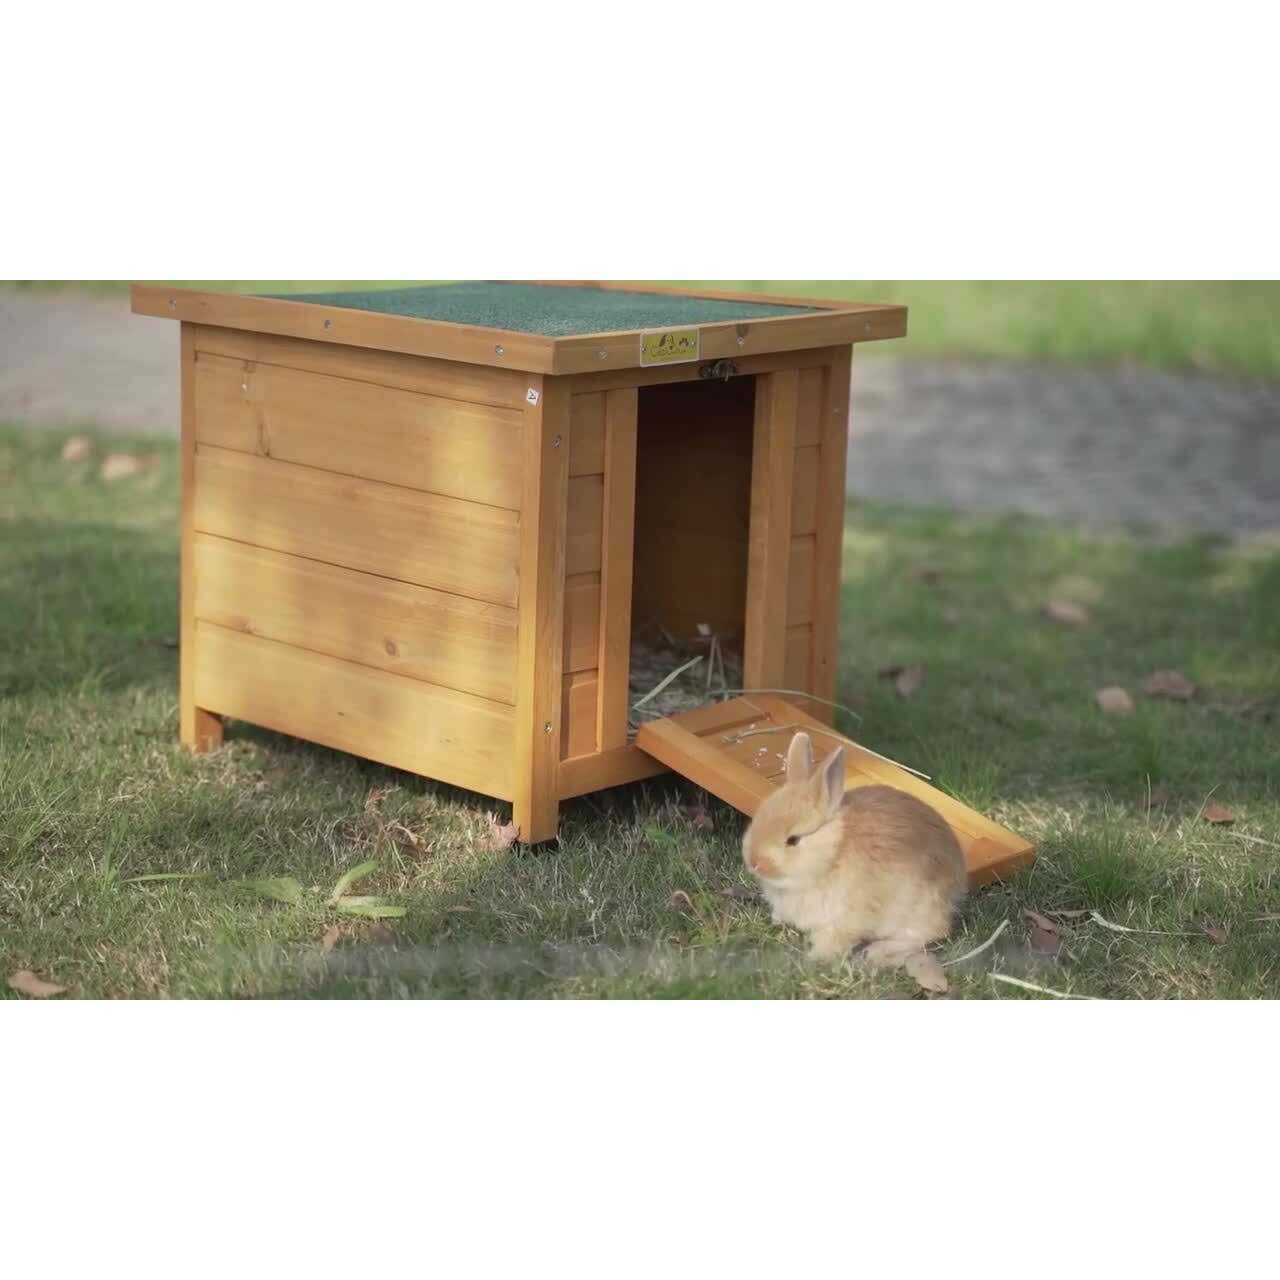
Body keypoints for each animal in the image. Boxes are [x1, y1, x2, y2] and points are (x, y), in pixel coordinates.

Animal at [742, 731, 966, 991]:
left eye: (793, 840)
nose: (754, 862)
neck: (832, 855)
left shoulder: (843, 923)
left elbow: (832, 942)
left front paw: (813, 959)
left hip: (917, 909)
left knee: (931, 933)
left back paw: (875, 952)